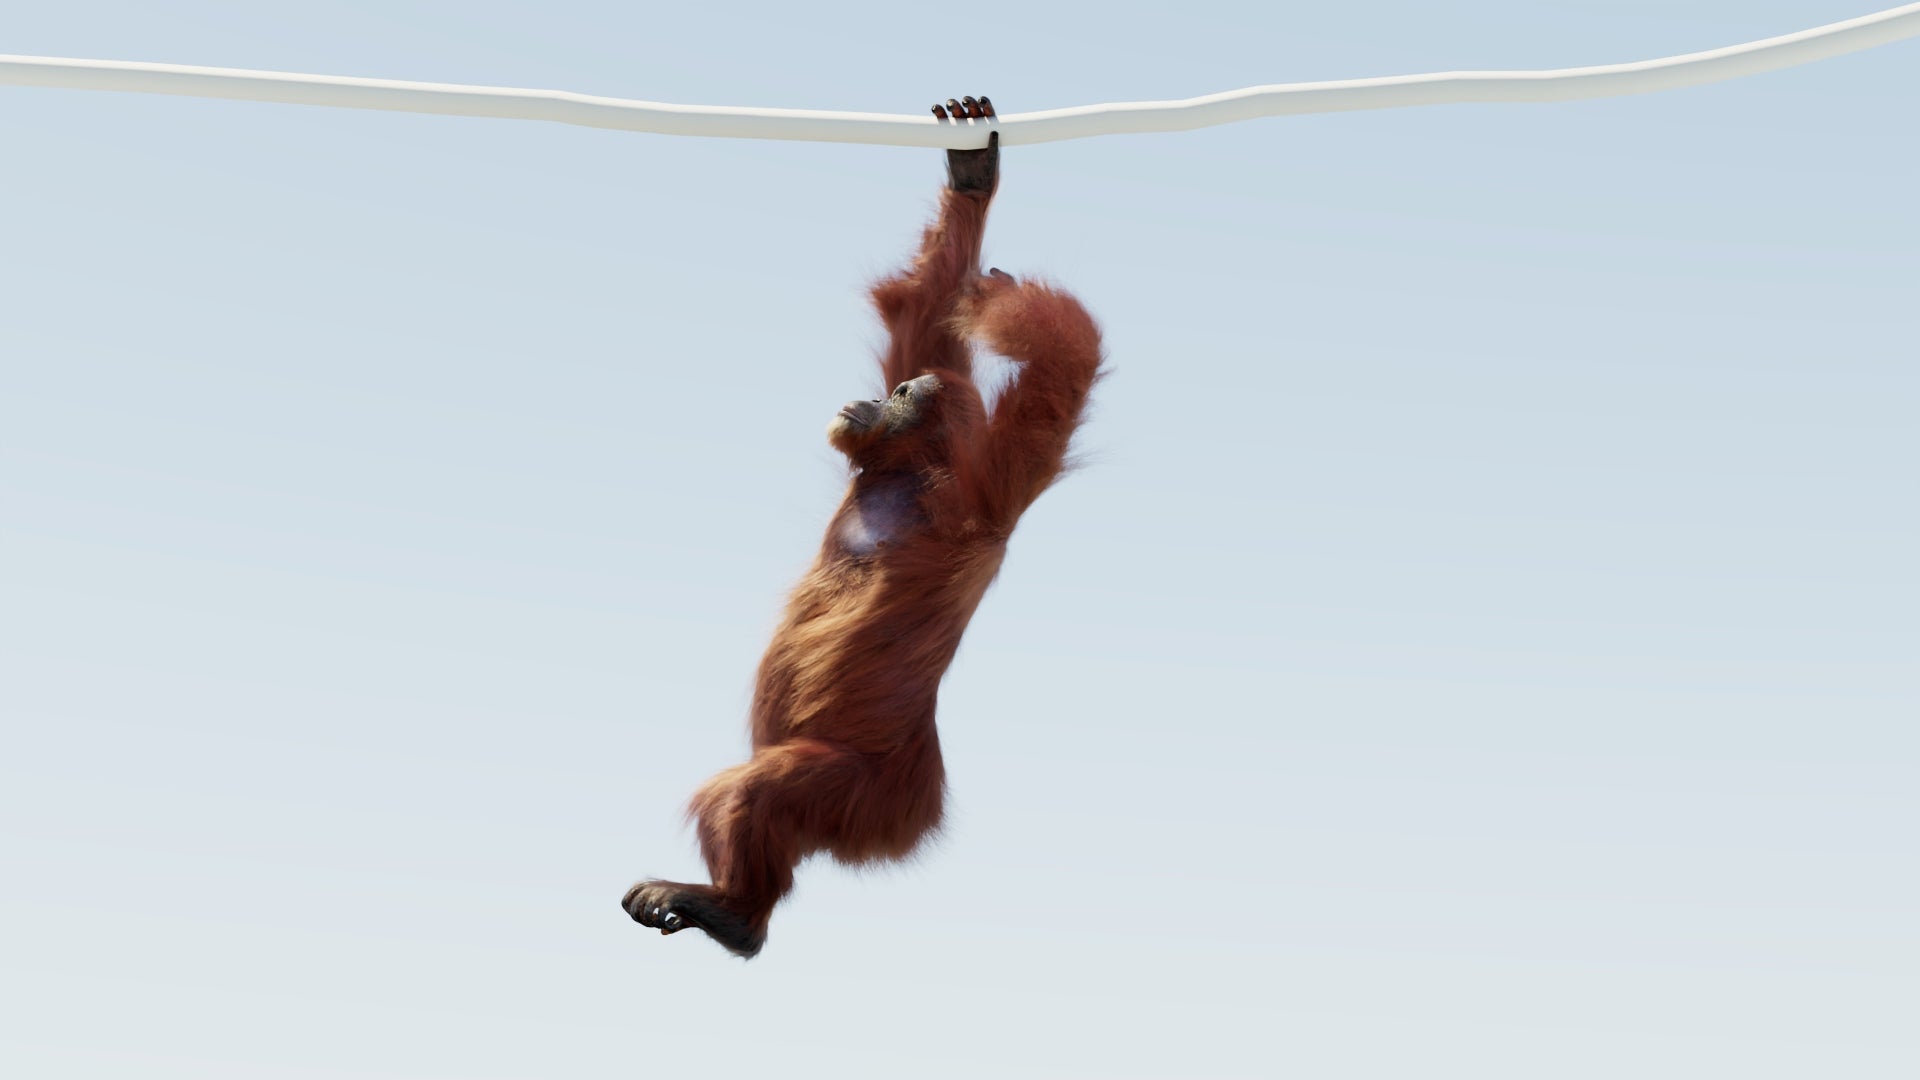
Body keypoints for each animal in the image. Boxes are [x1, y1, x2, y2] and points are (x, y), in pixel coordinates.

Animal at [624, 94, 1104, 957]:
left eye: (905, 396)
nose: (874, 397)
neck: (905, 479)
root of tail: (910, 824)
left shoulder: (984, 494)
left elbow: (1055, 387)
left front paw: (1008, 300)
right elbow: (927, 313)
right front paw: (972, 165)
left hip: (863, 791)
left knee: (764, 787)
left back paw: (736, 914)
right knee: (738, 794)